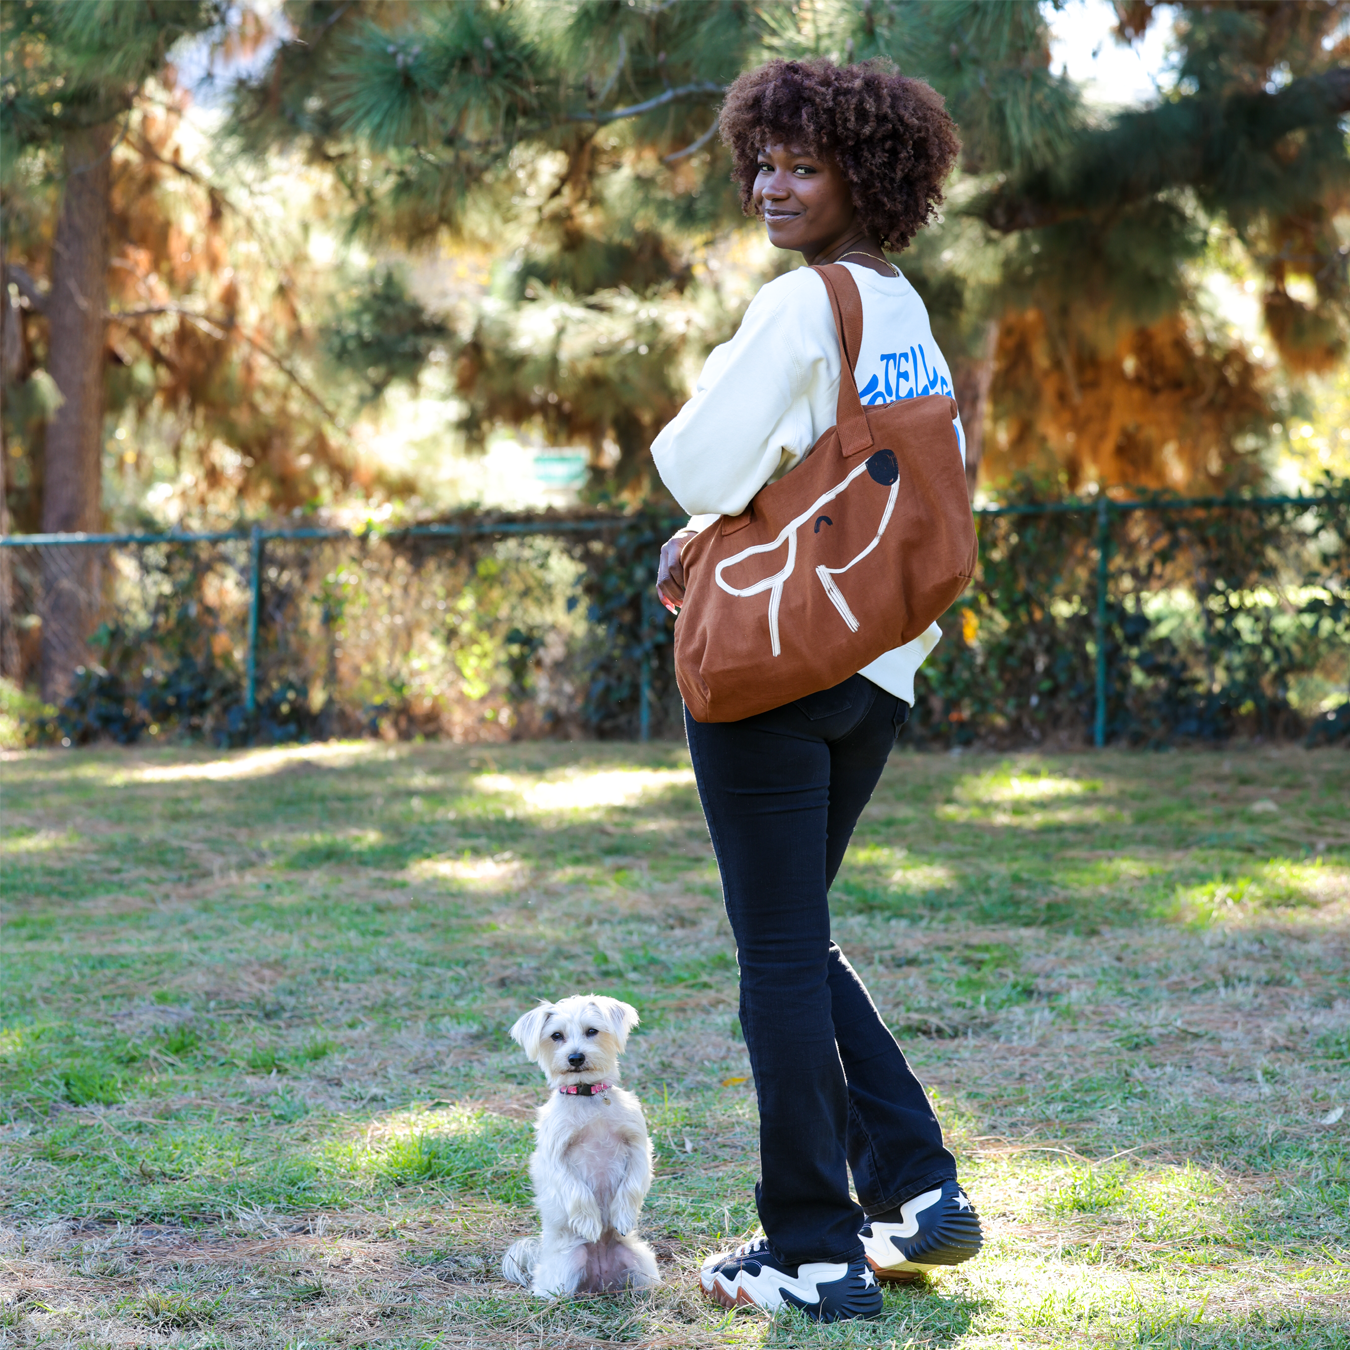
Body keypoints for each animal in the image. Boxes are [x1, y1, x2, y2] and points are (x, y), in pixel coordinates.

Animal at [502, 993, 658, 1296]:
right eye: (556, 1035)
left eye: (592, 1031)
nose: (575, 1057)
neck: (587, 1097)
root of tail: (600, 1282)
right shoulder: (555, 1158)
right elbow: (577, 1191)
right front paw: (589, 1223)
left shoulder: (638, 1147)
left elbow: (632, 1186)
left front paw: (623, 1217)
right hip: (567, 1266)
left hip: (641, 1263)